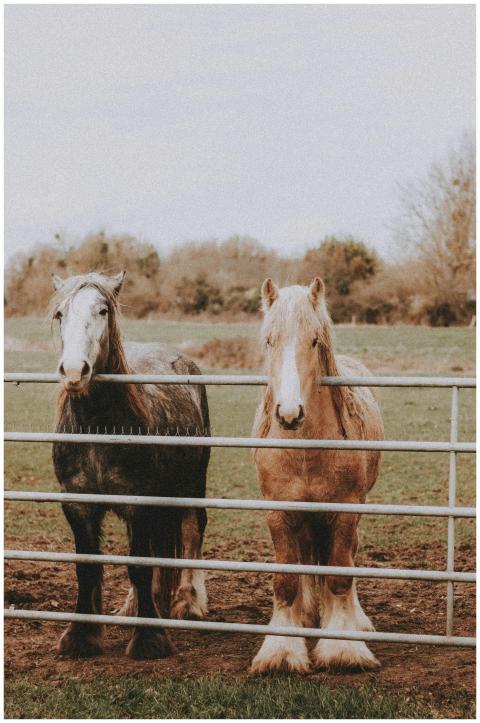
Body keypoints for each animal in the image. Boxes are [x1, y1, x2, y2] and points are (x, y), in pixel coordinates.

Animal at [50, 271, 210, 660]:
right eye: (60, 314)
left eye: (103, 310)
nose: (74, 371)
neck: (98, 429)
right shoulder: (77, 504)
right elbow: (87, 567)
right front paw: (81, 636)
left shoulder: (139, 503)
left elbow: (138, 564)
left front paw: (149, 639)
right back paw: (133, 605)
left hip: (192, 483)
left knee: (192, 529)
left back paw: (188, 602)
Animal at [250, 277, 384, 674]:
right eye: (269, 340)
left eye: (314, 341)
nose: (289, 413)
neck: (306, 450)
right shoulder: (278, 511)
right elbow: (286, 581)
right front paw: (281, 650)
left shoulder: (345, 510)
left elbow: (339, 574)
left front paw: (343, 648)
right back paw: (309, 614)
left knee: (345, 558)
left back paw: (353, 619)